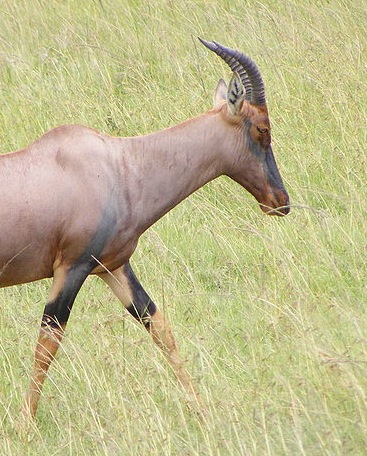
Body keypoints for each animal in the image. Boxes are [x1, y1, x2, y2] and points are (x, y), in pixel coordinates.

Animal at [0, 39, 290, 420]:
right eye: (262, 128)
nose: (281, 201)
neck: (119, 165)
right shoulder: (72, 268)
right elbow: (47, 343)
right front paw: (25, 424)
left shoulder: (113, 267)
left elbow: (159, 327)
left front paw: (202, 410)